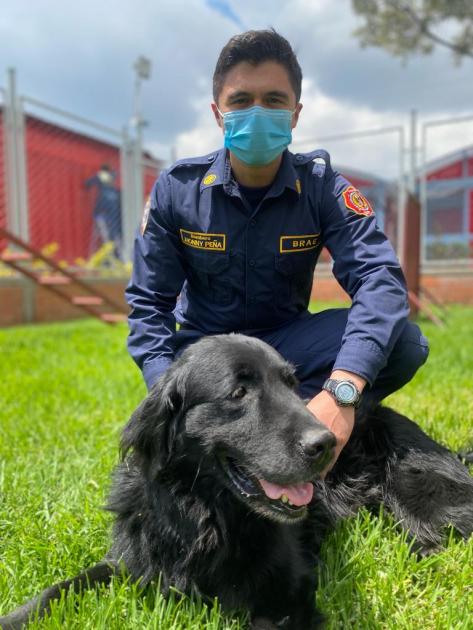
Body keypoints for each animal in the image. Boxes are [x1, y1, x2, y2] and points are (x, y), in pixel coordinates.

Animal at [0, 336, 472, 628]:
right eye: (238, 393)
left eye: (291, 384)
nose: (326, 442)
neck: (207, 514)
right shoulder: (130, 562)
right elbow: (60, 588)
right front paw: (14, 617)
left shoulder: (290, 591)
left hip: (422, 499)